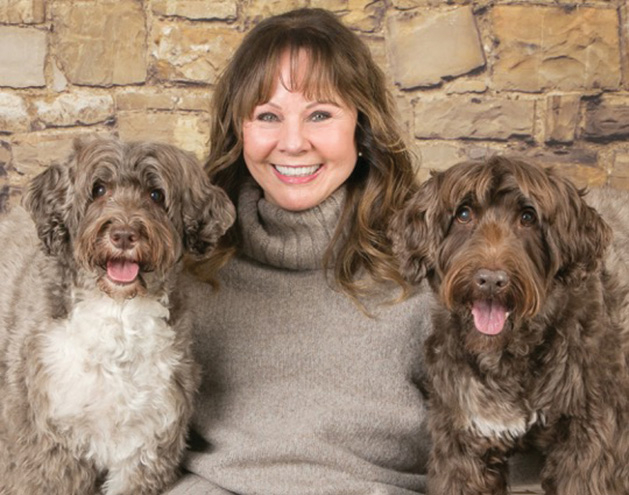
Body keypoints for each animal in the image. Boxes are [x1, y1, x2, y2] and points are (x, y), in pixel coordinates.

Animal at [0, 137, 236, 495]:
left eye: (156, 194)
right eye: (98, 189)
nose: (124, 234)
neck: (118, 313)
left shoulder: (147, 442)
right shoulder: (49, 446)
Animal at [388, 157, 628, 494]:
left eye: (528, 217)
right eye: (463, 214)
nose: (490, 280)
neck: (510, 356)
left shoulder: (589, 440)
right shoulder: (465, 437)